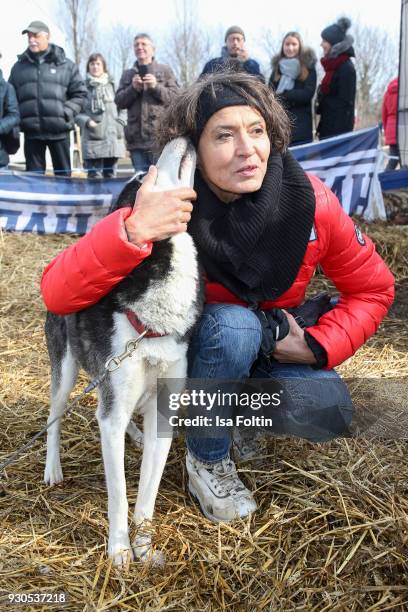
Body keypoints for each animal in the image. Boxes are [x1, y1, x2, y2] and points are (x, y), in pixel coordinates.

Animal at [43, 137, 203, 564]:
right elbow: (118, 496)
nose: (183, 135)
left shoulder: (163, 411)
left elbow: (146, 496)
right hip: (65, 373)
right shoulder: (112, 411)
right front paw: (118, 551)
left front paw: (144, 547)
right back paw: (52, 469)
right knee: (55, 417)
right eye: (144, 174)